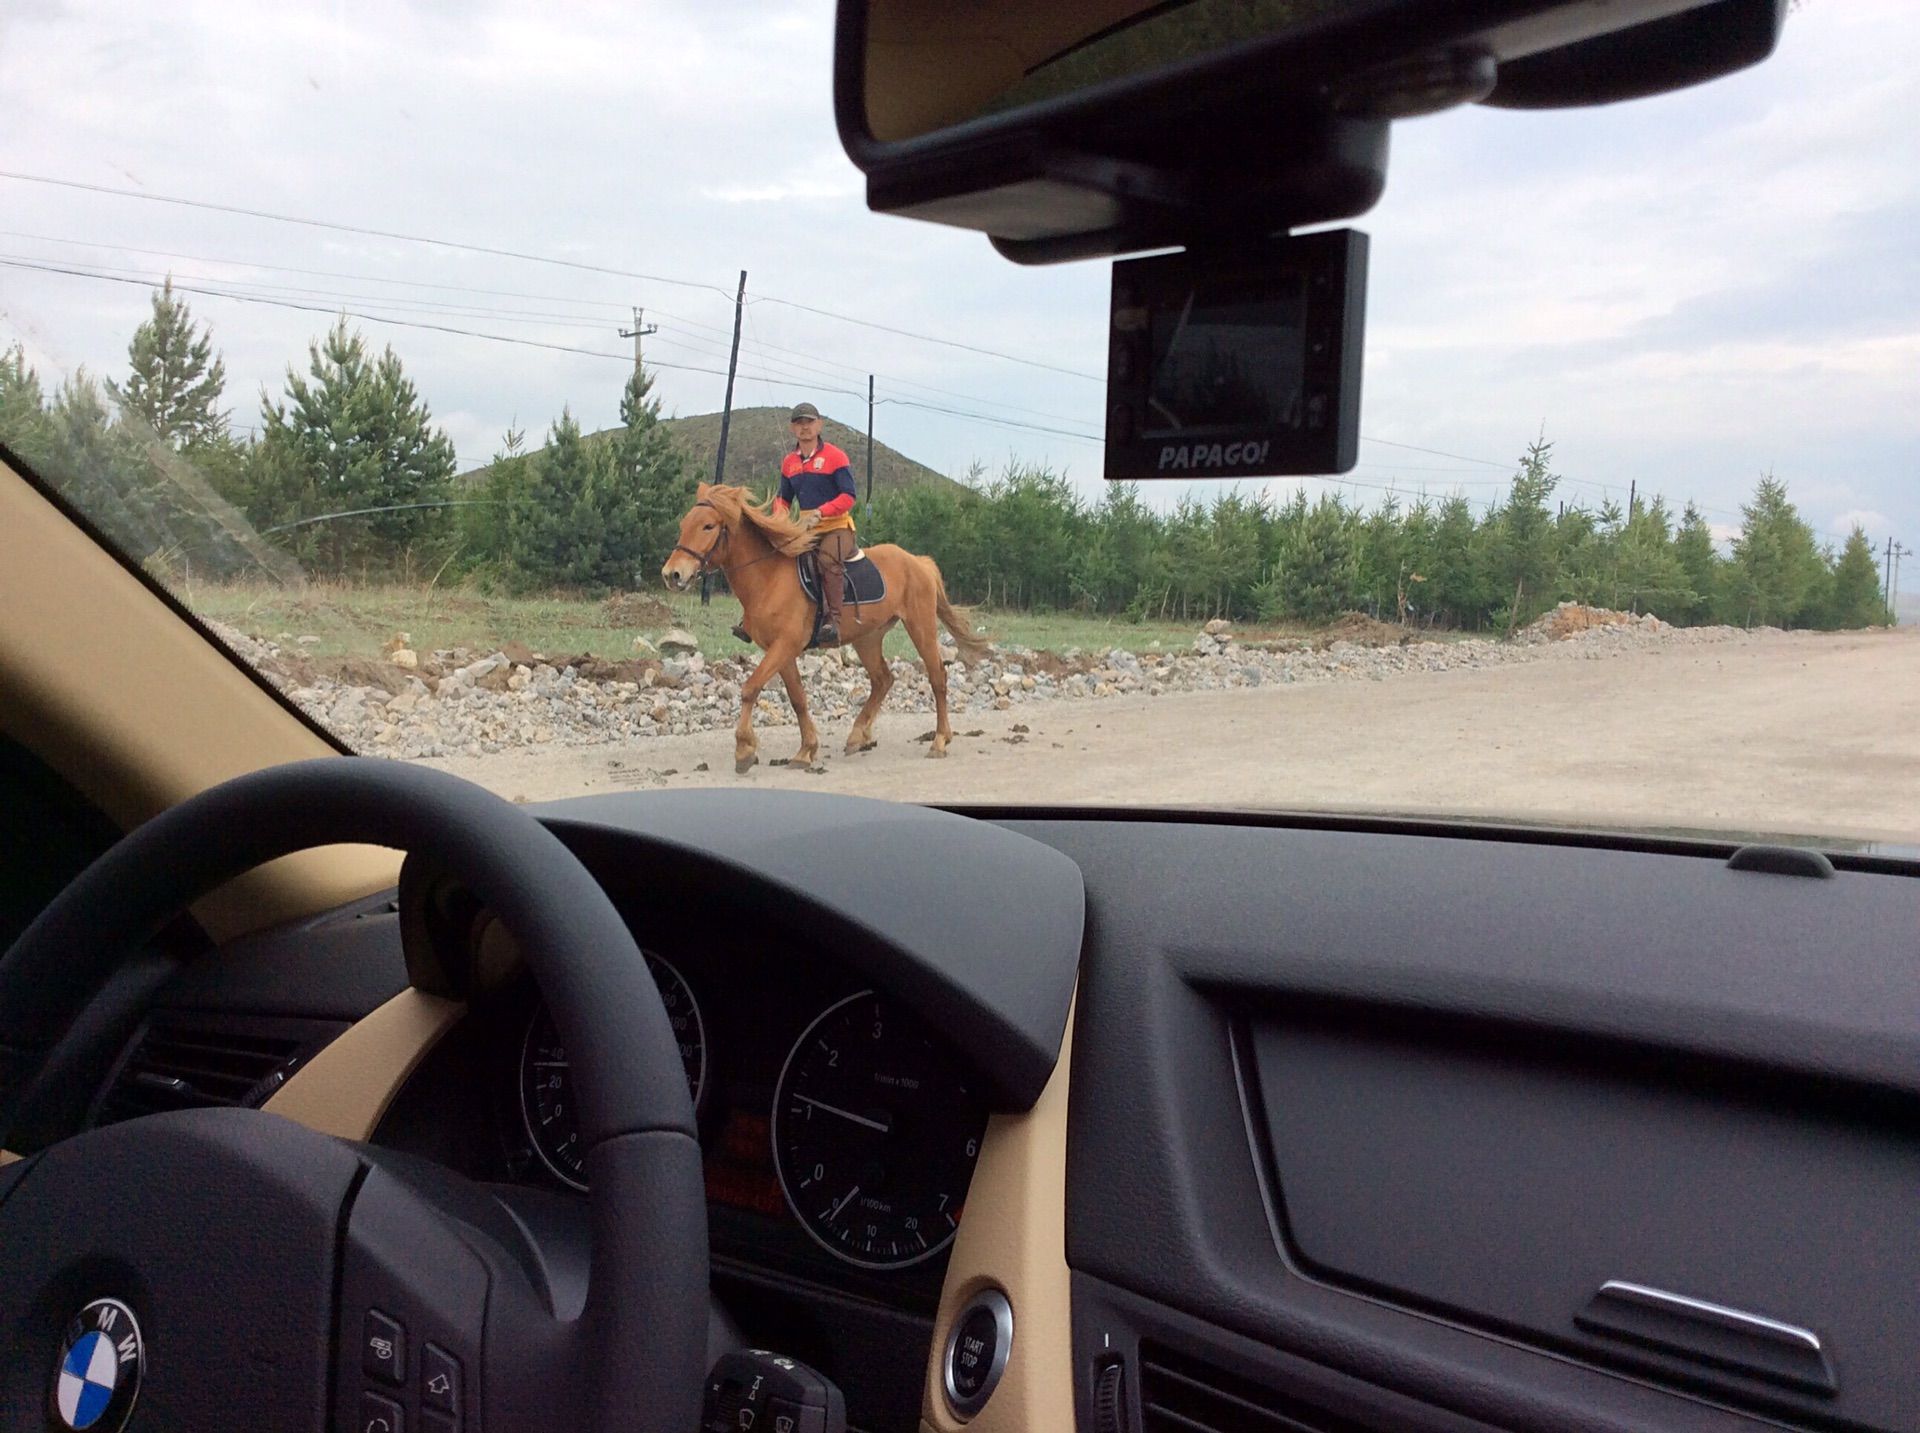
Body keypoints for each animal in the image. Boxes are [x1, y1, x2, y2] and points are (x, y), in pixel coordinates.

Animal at [660, 480, 990, 772]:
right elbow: (798, 699)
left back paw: (939, 740)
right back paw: (858, 736)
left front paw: (744, 750)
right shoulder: (780, 651)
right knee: (883, 680)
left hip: (920, 627)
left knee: (937, 678)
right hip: (867, 638)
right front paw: (806, 751)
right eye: (684, 524)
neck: (768, 578)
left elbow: (750, 688)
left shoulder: (786, 645)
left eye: (708, 526)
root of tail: (918, 562)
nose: (672, 574)